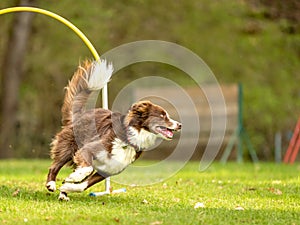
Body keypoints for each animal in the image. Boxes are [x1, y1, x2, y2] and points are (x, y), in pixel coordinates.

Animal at [44, 59, 180, 200]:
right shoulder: (88, 149)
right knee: (54, 166)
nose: (179, 125)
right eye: (162, 116)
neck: (130, 140)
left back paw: (63, 194)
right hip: (68, 148)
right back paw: (51, 184)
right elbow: (87, 169)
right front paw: (74, 178)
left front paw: (68, 186)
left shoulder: (107, 170)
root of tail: (79, 115)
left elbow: (83, 185)